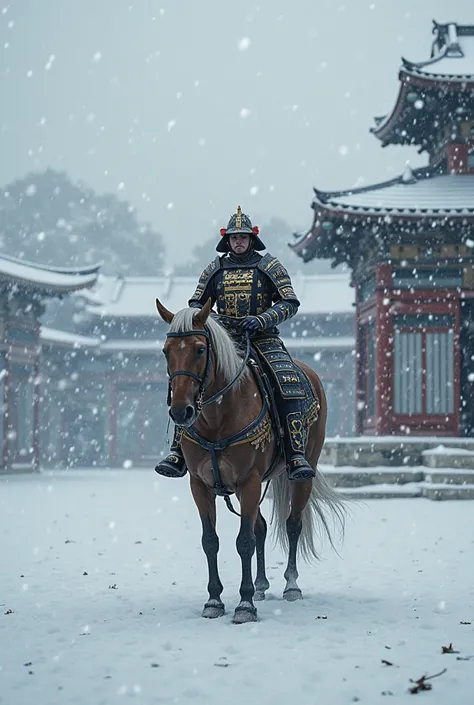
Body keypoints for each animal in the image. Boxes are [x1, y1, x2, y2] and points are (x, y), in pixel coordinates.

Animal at [157, 296, 346, 620]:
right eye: (166, 351)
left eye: (200, 349)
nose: (181, 411)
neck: (218, 418)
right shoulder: (200, 485)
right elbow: (211, 541)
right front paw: (214, 601)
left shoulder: (249, 481)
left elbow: (244, 541)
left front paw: (244, 605)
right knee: (262, 527)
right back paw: (260, 585)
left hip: (302, 472)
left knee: (292, 524)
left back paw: (290, 586)